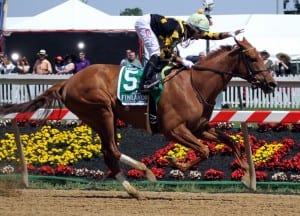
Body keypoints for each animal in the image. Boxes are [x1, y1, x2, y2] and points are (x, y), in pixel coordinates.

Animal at [0, 37, 276, 199]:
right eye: (252, 58)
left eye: (262, 55)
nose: (272, 83)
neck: (194, 83)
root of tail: (67, 82)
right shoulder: (173, 129)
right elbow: (204, 151)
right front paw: (175, 163)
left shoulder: (199, 127)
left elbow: (231, 142)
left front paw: (245, 175)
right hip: (102, 110)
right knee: (112, 150)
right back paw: (146, 172)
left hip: (101, 117)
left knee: (108, 153)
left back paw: (133, 189)